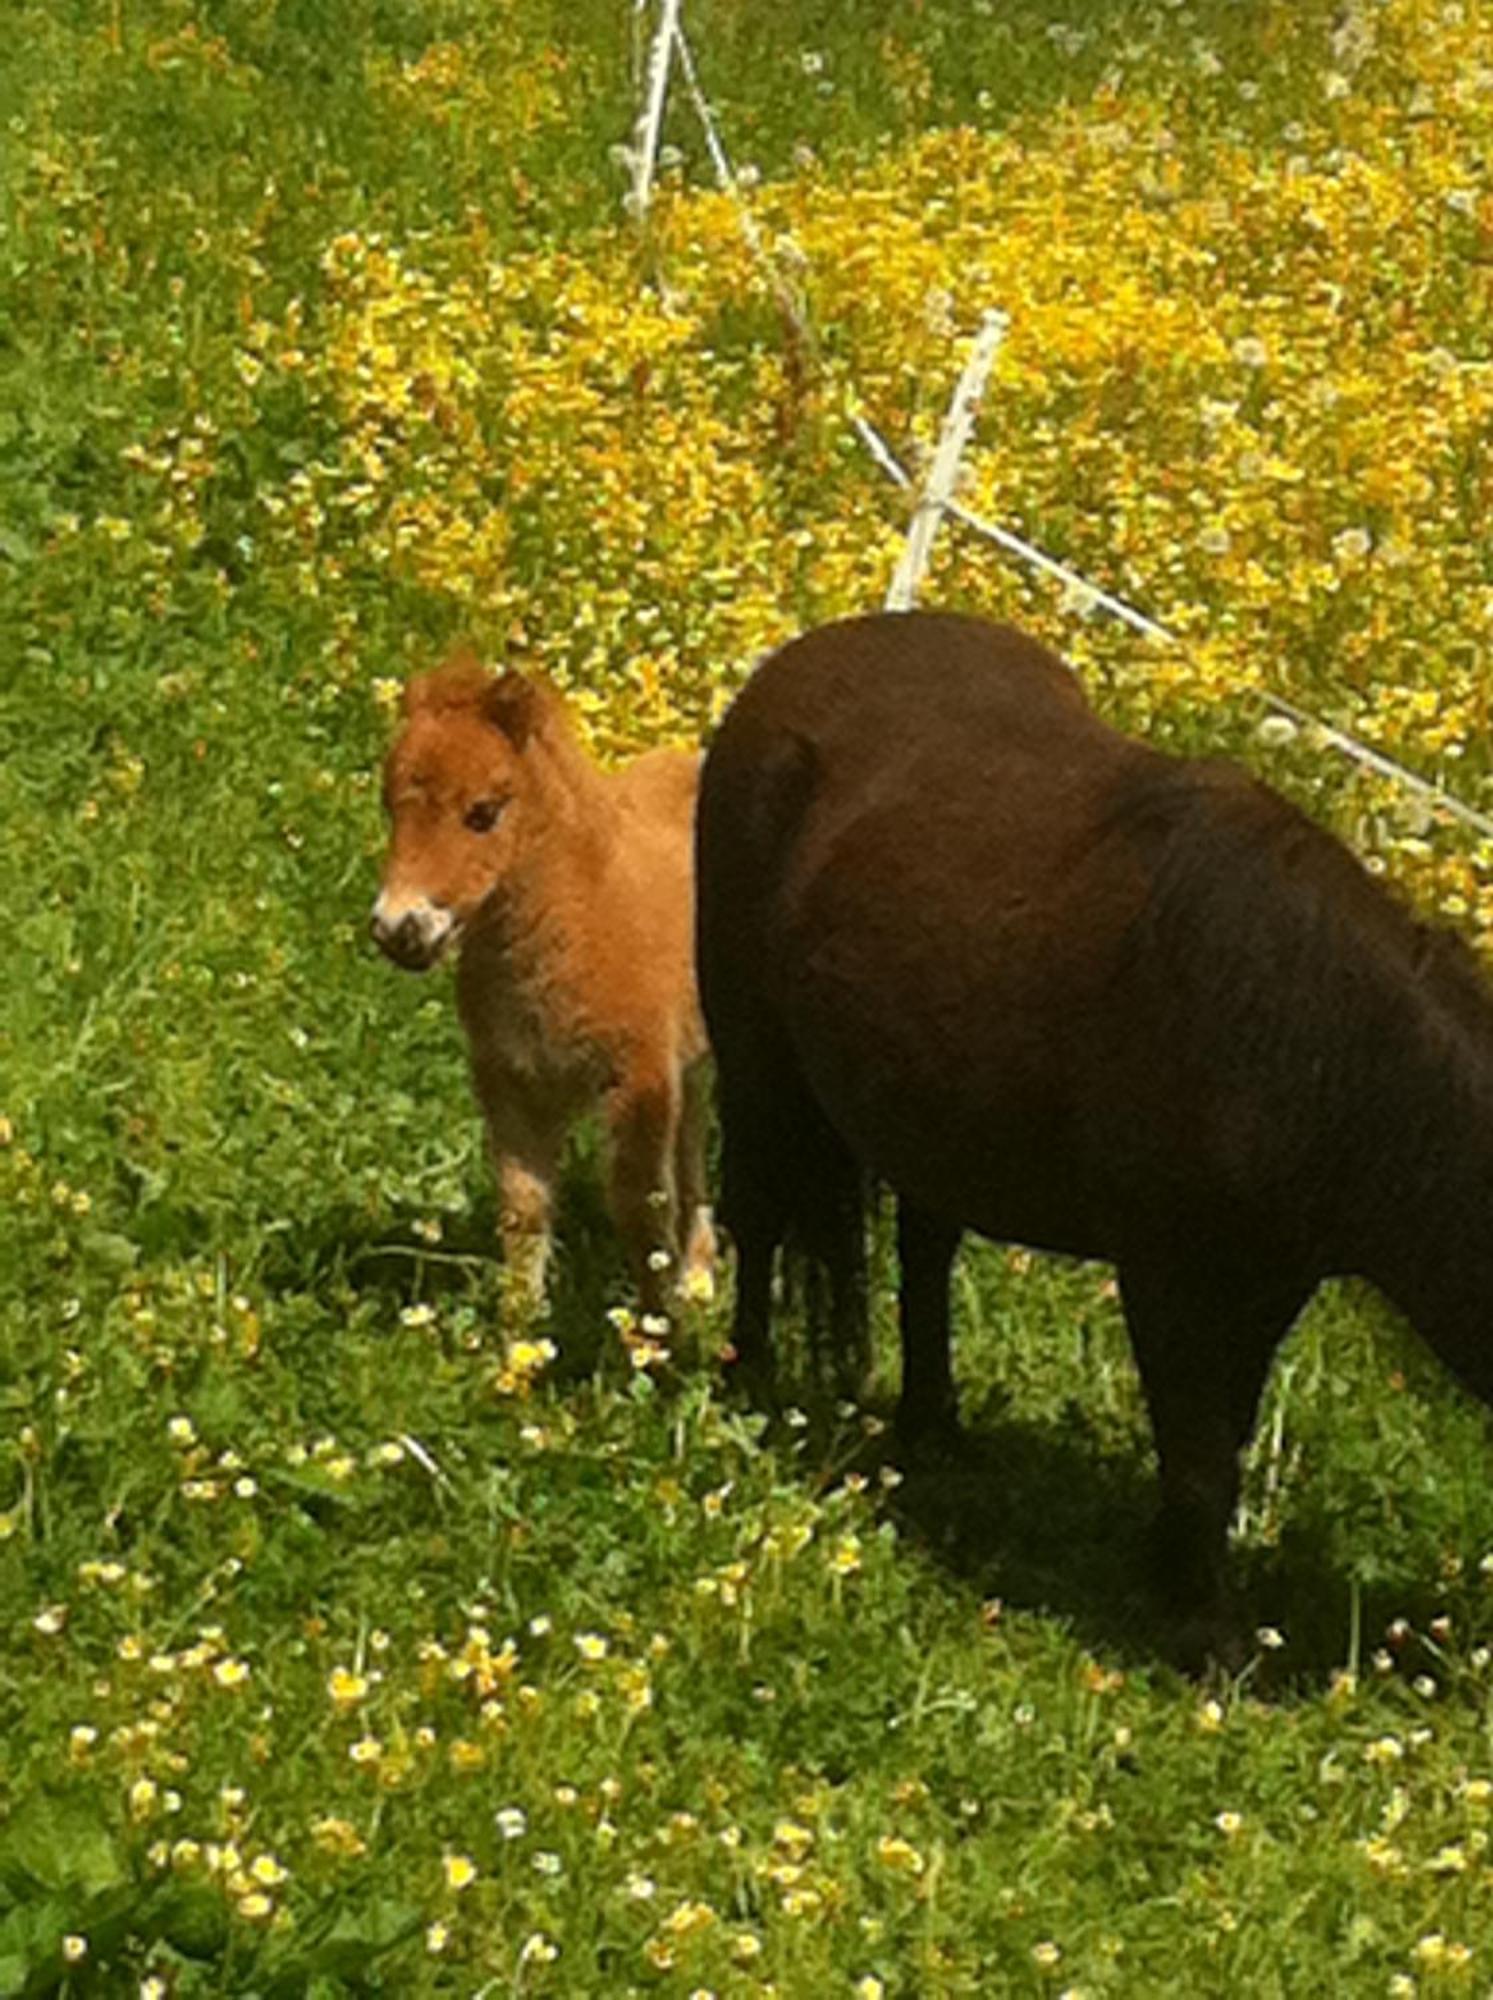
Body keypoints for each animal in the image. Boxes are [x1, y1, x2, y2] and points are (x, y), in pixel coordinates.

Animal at [692, 608, 1488, 1656]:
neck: (1310, 1046)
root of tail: (793, 663)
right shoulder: (1167, 1274)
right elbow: (1198, 1451)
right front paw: (1204, 1632)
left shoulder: (1266, 1282)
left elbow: (1222, 1432)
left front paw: (1169, 1574)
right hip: (757, 1063)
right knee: (758, 1216)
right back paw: (751, 1382)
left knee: (923, 1256)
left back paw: (932, 1427)